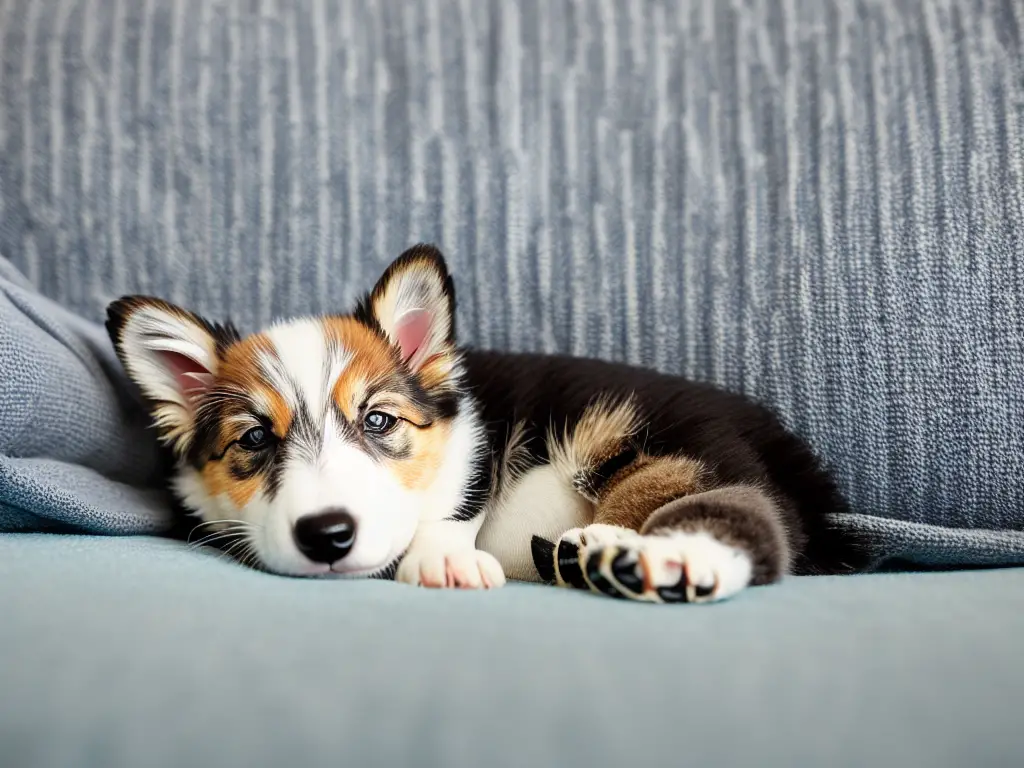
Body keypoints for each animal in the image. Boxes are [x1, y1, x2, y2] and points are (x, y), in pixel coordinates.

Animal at [105, 243, 856, 606]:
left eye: (379, 420)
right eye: (255, 439)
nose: (327, 537)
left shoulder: (473, 448)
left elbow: (452, 505)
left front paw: (444, 559)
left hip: (687, 451)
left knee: (741, 516)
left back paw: (664, 557)